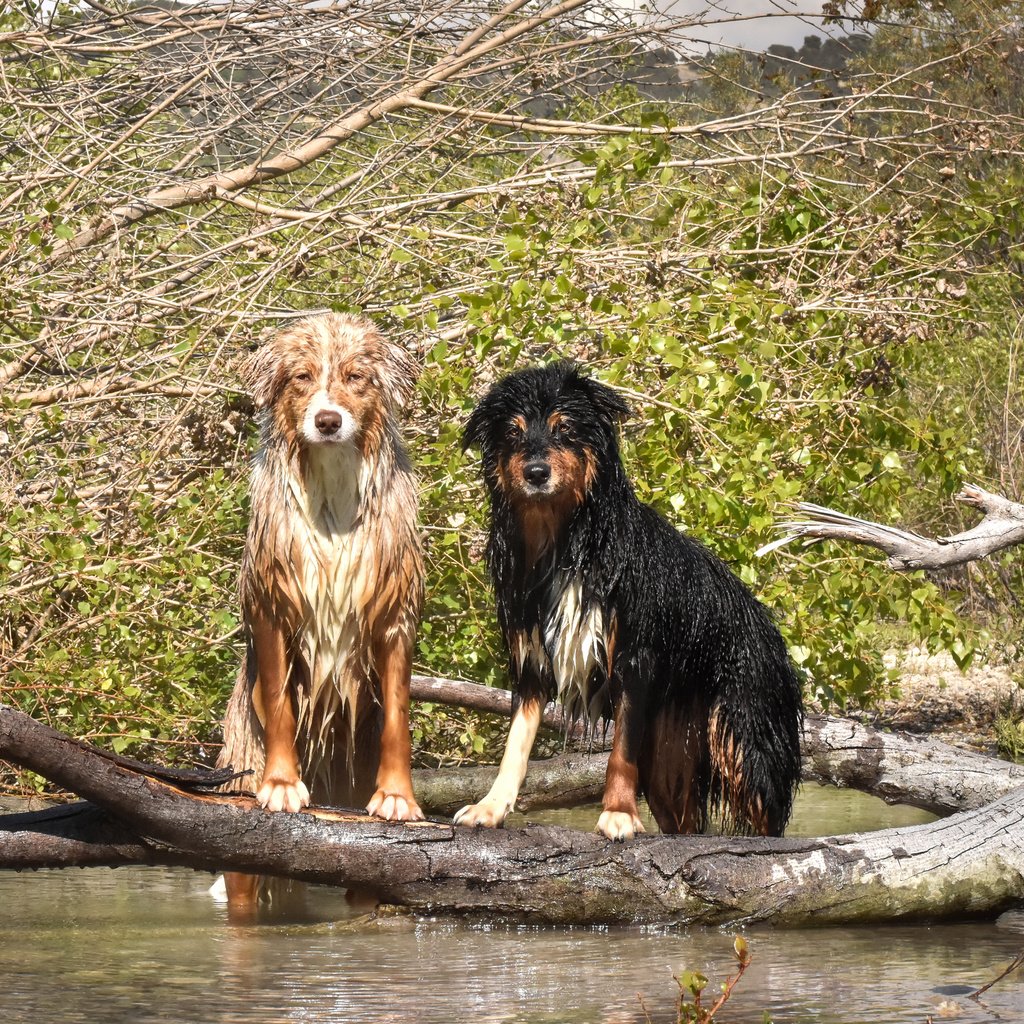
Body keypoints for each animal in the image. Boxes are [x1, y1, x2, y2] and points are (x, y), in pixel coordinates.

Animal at [218, 311, 421, 905]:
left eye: (356, 377)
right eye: (302, 378)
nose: (328, 421)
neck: (332, 494)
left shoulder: (394, 613)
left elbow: (397, 711)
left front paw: (398, 795)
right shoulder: (272, 605)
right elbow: (281, 701)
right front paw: (283, 784)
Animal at [456, 362, 798, 839]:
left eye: (565, 429)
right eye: (514, 432)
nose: (536, 472)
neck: (566, 543)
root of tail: (767, 625)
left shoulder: (634, 659)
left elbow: (619, 752)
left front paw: (617, 813)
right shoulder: (532, 661)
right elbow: (515, 744)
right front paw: (490, 806)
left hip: (745, 741)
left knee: (770, 821)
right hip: (669, 763)